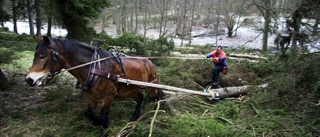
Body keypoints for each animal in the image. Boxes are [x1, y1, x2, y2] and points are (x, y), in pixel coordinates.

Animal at [25, 36, 164, 128]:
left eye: (42, 56)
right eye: (35, 55)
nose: (29, 79)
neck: (94, 67)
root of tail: (149, 61)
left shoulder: (108, 97)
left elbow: (102, 117)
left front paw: (105, 127)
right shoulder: (92, 97)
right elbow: (90, 115)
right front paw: (101, 123)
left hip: (151, 86)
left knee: (157, 97)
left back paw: (157, 114)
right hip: (129, 89)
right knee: (140, 98)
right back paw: (135, 117)